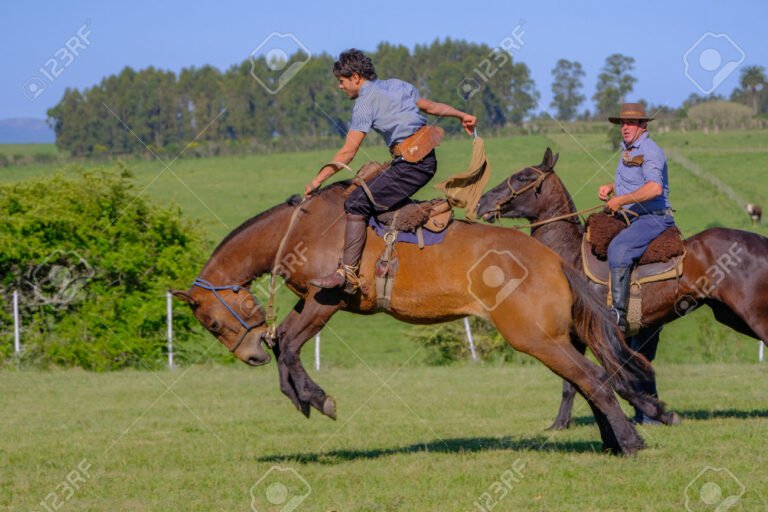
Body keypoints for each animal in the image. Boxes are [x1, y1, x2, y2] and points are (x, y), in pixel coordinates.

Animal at [171, 179, 678, 455]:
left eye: (213, 324)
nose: (250, 357)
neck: (300, 230)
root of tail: (553, 260)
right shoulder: (311, 301)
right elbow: (285, 345)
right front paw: (301, 396)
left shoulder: (325, 300)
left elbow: (292, 344)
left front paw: (315, 397)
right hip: (553, 339)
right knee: (594, 379)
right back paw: (616, 441)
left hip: (537, 339)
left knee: (594, 380)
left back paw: (630, 443)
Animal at [476, 148, 768, 429]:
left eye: (523, 177)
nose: (481, 203)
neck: (571, 258)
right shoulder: (574, 336)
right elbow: (571, 384)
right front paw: (559, 425)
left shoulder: (602, 335)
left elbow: (617, 379)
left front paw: (659, 414)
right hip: (731, 316)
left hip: (754, 315)